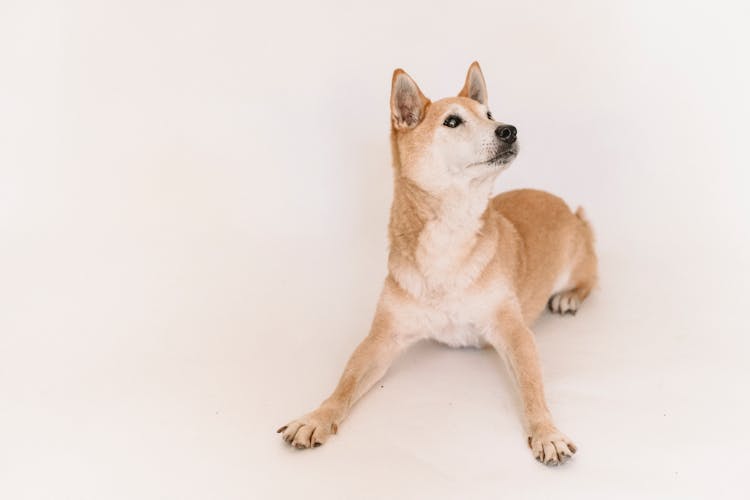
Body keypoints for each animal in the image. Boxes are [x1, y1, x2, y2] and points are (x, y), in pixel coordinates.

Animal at [276, 61, 600, 464]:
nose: (509, 129)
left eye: (489, 114)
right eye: (452, 121)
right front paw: (316, 417)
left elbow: (532, 387)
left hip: (578, 257)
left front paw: (546, 432)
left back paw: (569, 296)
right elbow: (345, 384)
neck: (449, 234)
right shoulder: (382, 338)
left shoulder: (514, 331)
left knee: (591, 278)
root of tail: (566, 206)